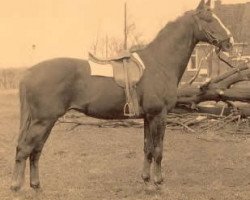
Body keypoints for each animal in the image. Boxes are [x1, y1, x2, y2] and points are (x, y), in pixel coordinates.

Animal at [10, 0, 234, 191]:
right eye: (210, 19)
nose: (230, 43)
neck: (159, 63)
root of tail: (28, 73)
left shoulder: (147, 117)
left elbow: (147, 149)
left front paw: (146, 181)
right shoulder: (158, 115)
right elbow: (158, 150)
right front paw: (158, 183)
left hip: (46, 121)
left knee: (36, 151)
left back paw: (36, 186)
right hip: (43, 120)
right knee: (25, 149)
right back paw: (16, 187)